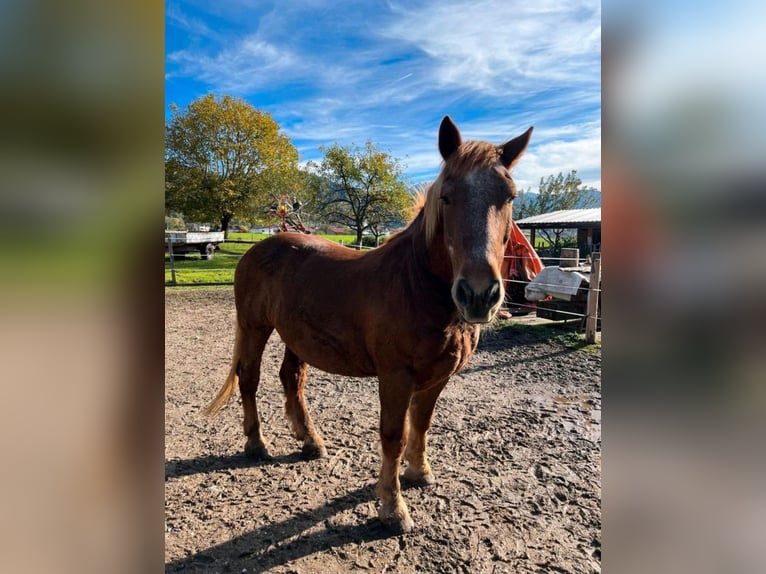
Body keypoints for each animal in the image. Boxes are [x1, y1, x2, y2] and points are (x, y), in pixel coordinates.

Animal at [204, 116, 533, 532]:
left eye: (510, 197)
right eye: (446, 197)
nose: (478, 294)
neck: (417, 285)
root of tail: (258, 249)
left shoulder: (438, 376)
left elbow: (421, 423)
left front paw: (419, 472)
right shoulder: (395, 376)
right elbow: (393, 435)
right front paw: (393, 507)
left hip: (296, 336)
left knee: (291, 378)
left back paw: (310, 441)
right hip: (254, 327)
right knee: (249, 378)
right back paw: (256, 444)